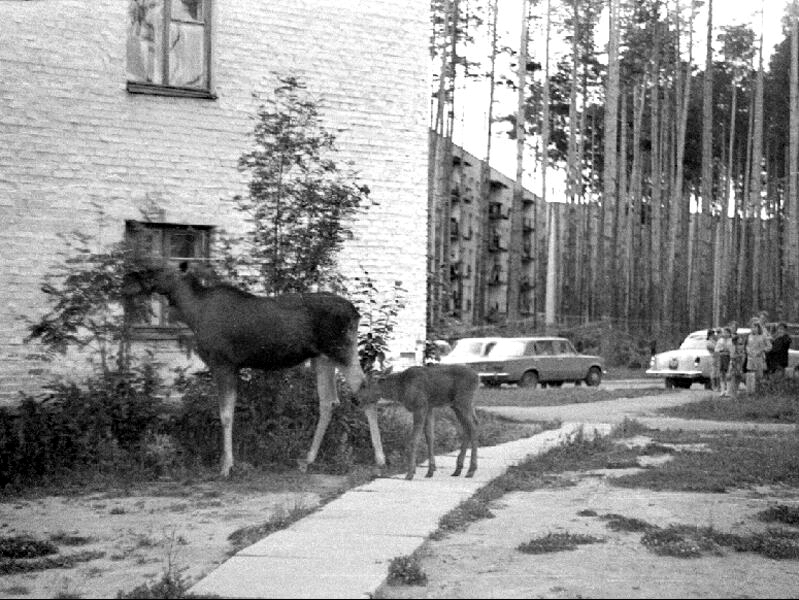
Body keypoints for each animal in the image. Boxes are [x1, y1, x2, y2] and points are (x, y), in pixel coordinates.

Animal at [122, 260, 388, 476]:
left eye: (155, 269)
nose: (127, 282)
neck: (193, 313)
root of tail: (356, 313)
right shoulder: (231, 366)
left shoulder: (223, 362)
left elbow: (226, 414)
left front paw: (226, 466)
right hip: (322, 357)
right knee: (329, 401)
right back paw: (307, 459)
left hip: (342, 351)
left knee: (366, 394)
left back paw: (379, 458)